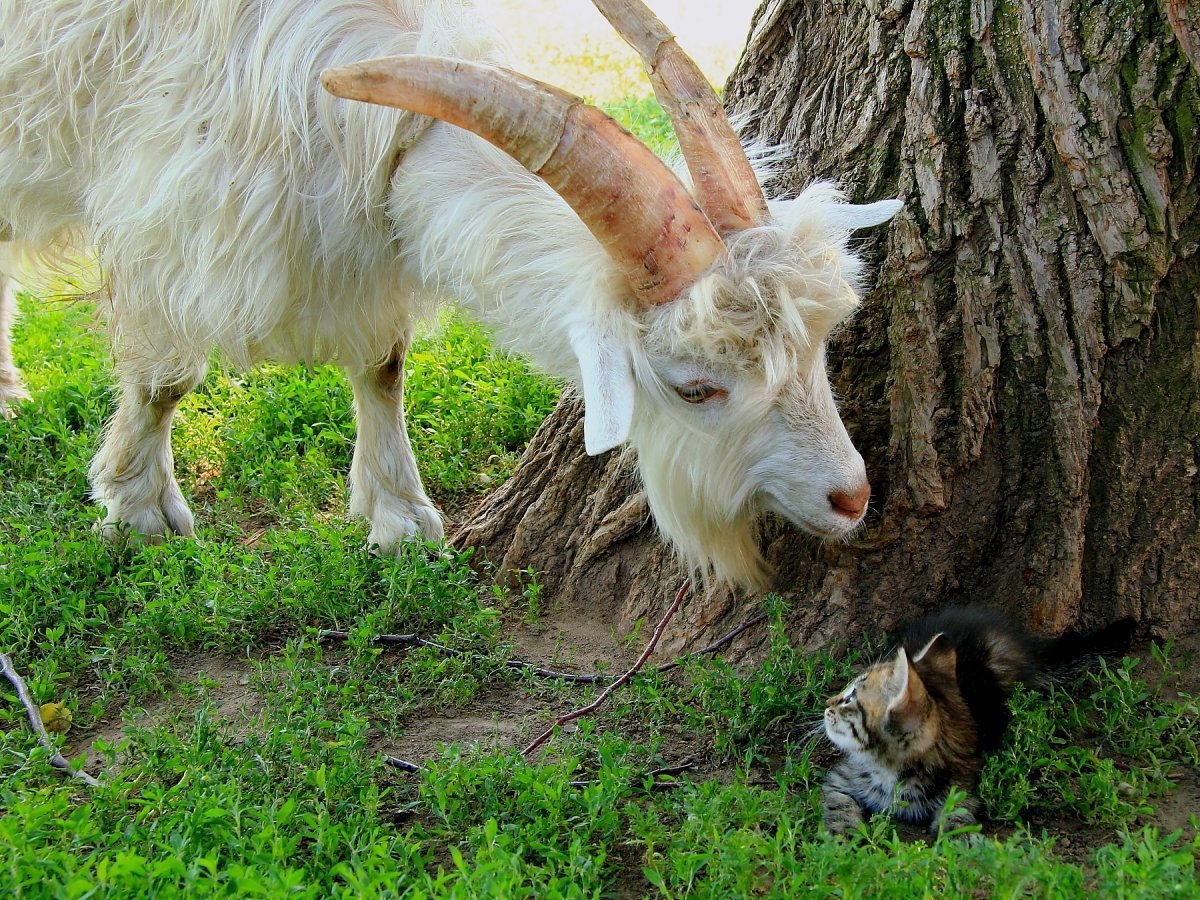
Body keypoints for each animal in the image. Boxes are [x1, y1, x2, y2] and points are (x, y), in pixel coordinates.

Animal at [0, 0, 902, 588]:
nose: (852, 496)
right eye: (697, 389)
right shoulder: (170, 202)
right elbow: (165, 373)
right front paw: (138, 510)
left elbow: (382, 364)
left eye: (820, 346)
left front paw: (400, 517)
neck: (380, 127)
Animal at [820, 607, 1128, 840]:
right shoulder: (841, 778)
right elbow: (838, 803)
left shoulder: (964, 783)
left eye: (851, 698)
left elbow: (959, 812)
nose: (828, 703)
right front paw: (841, 834)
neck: (893, 773)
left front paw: (960, 839)